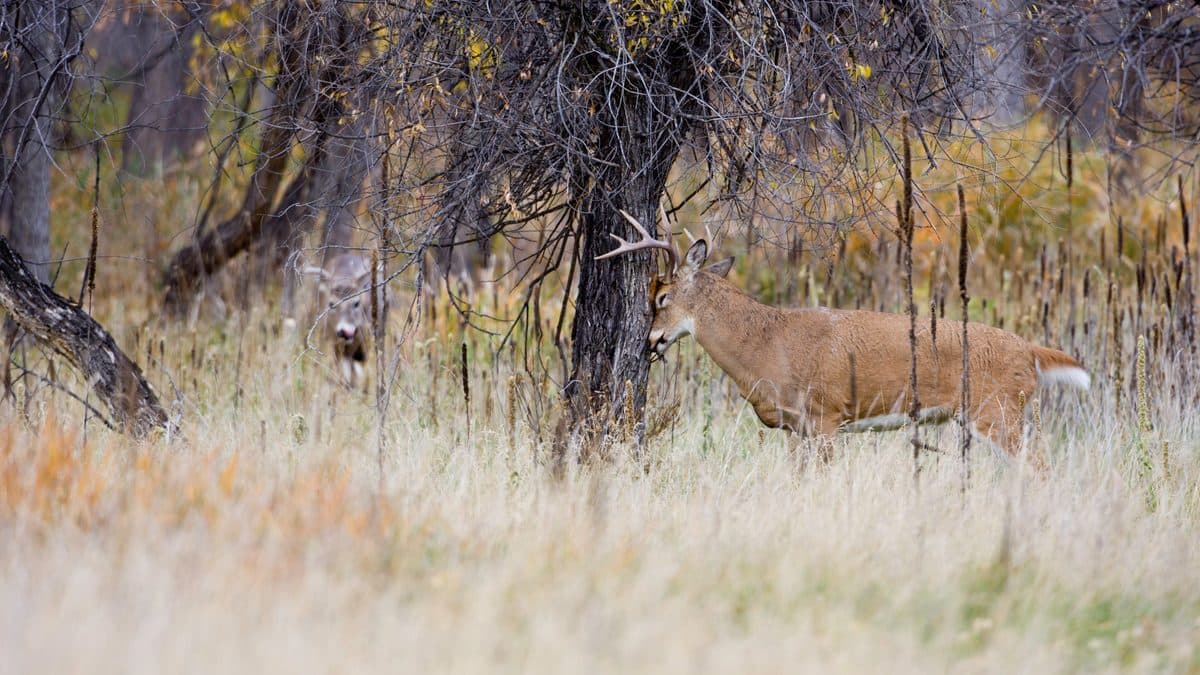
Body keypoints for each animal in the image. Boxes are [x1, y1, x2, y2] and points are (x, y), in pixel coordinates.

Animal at [597, 205, 1090, 467]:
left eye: (661, 298)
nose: (650, 340)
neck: (764, 345)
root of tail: (1030, 352)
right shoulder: (796, 428)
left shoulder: (826, 415)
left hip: (998, 412)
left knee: (1040, 468)